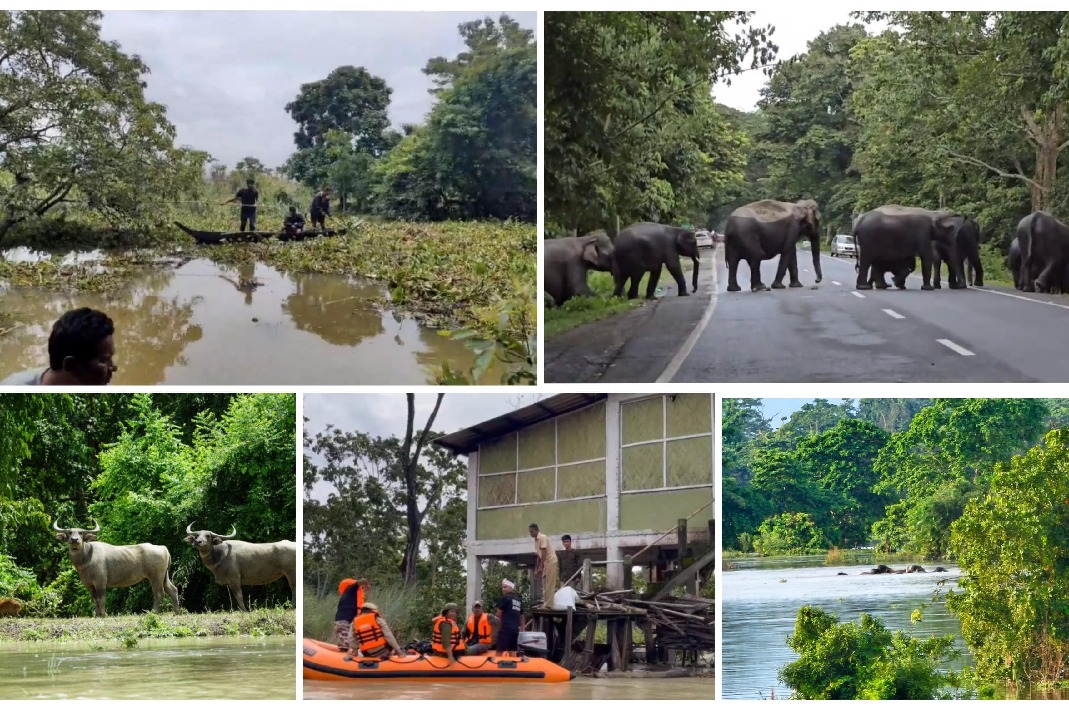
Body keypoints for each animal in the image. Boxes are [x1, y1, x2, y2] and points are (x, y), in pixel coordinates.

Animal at [53, 519, 181, 620]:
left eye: (80, 533)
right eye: (70, 532)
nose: (74, 540)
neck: (86, 558)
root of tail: (163, 548)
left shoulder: (100, 583)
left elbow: (101, 598)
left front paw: (103, 614)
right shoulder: (90, 585)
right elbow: (95, 599)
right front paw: (98, 614)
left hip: (156, 576)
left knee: (158, 592)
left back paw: (153, 612)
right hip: (164, 576)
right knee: (172, 589)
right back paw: (176, 612)